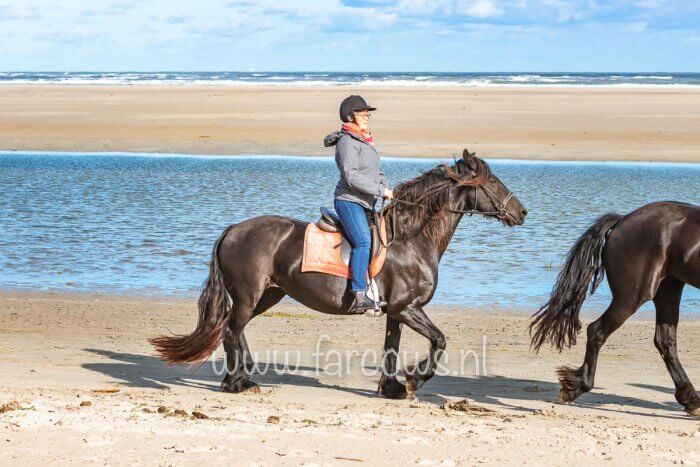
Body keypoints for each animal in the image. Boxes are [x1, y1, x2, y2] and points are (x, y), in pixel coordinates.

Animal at [152, 151, 524, 398]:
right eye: (492, 181)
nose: (522, 211)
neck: (410, 238)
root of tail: (232, 230)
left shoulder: (396, 312)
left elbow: (391, 348)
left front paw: (391, 388)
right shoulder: (407, 308)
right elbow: (439, 340)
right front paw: (414, 379)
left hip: (267, 295)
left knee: (236, 329)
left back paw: (246, 378)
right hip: (249, 295)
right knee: (231, 332)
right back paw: (235, 384)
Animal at [532, 201, 700, 416]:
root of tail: (622, 220)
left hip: (668, 289)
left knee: (665, 341)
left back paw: (691, 400)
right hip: (632, 296)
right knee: (596, 331)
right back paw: (576, 387)